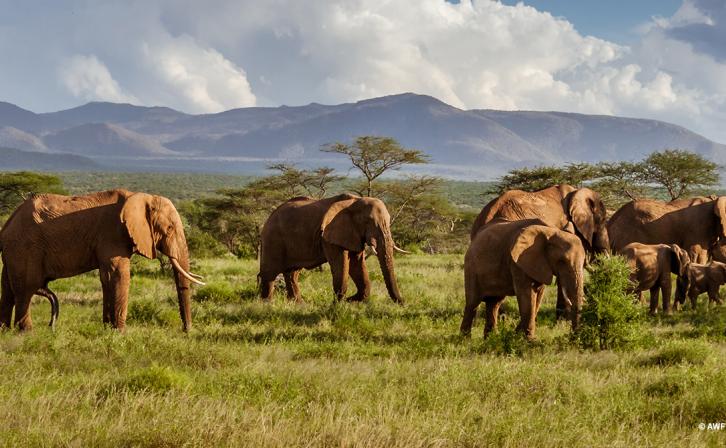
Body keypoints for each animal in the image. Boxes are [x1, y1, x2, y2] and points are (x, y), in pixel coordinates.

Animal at [0, 189, 205, 332]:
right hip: (25, 248)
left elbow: (106, 278)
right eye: (169, 229)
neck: (139, 196)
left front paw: (107, 328)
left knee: (8, 289)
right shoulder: (112, 234)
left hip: (14, 252)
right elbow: (119, 275)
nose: (186, 330)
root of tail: (7, 225)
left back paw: (5, 331)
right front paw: (120, 332)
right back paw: (27, 332)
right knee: (26, 288)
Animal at [260, 193, 410, 304]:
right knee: (269, 273)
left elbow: (356, 265)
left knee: (292, 273)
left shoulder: (353, 234)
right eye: (368, 221)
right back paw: (266, 304)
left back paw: (298, 304)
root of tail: (270, 216)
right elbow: (341, 265)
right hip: (272, 239)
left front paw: (352, 300)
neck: (355, 201)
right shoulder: (328, 237)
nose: (403, 303)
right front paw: (337, 304)